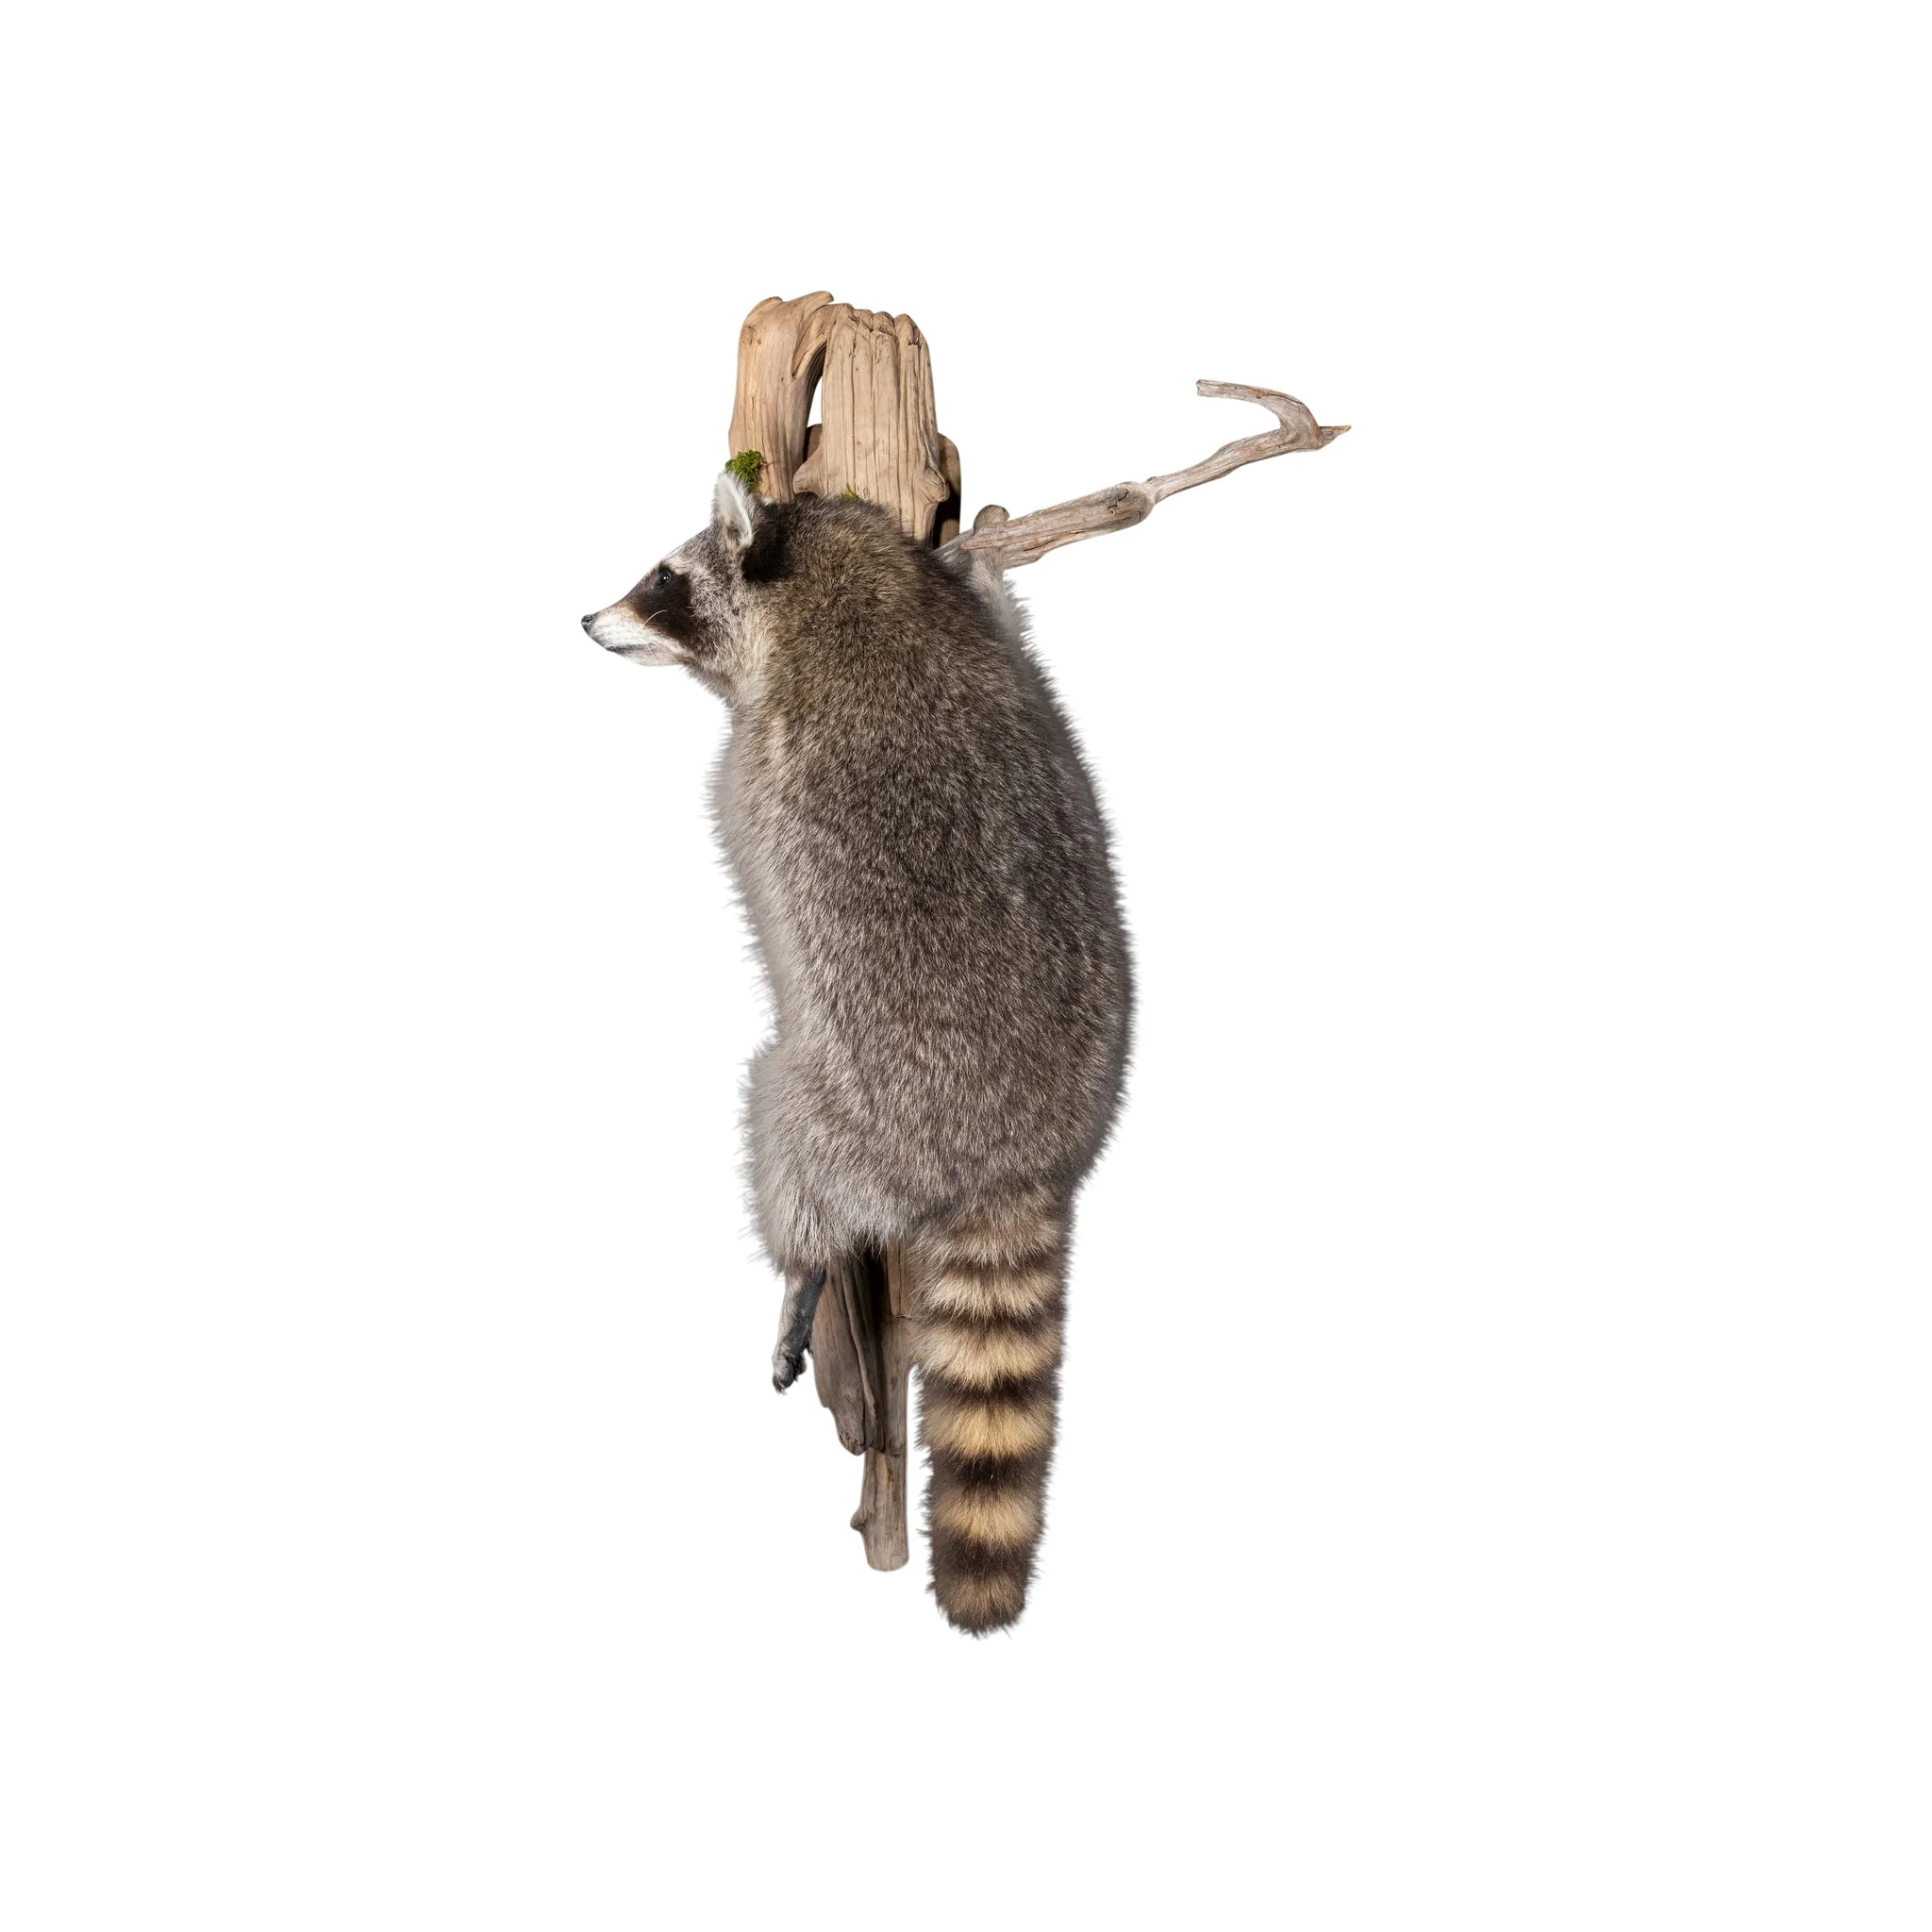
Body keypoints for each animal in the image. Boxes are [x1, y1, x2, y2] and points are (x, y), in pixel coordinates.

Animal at [584, 472, 1132, 1632]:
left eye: (662, 578)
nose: (585, 619)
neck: (846, 581)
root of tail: (1018, 1158)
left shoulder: (759, 746)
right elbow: (1002, 615)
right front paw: (985, 551)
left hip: (849, 1095)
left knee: (779, 1127)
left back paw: (803, 1267)